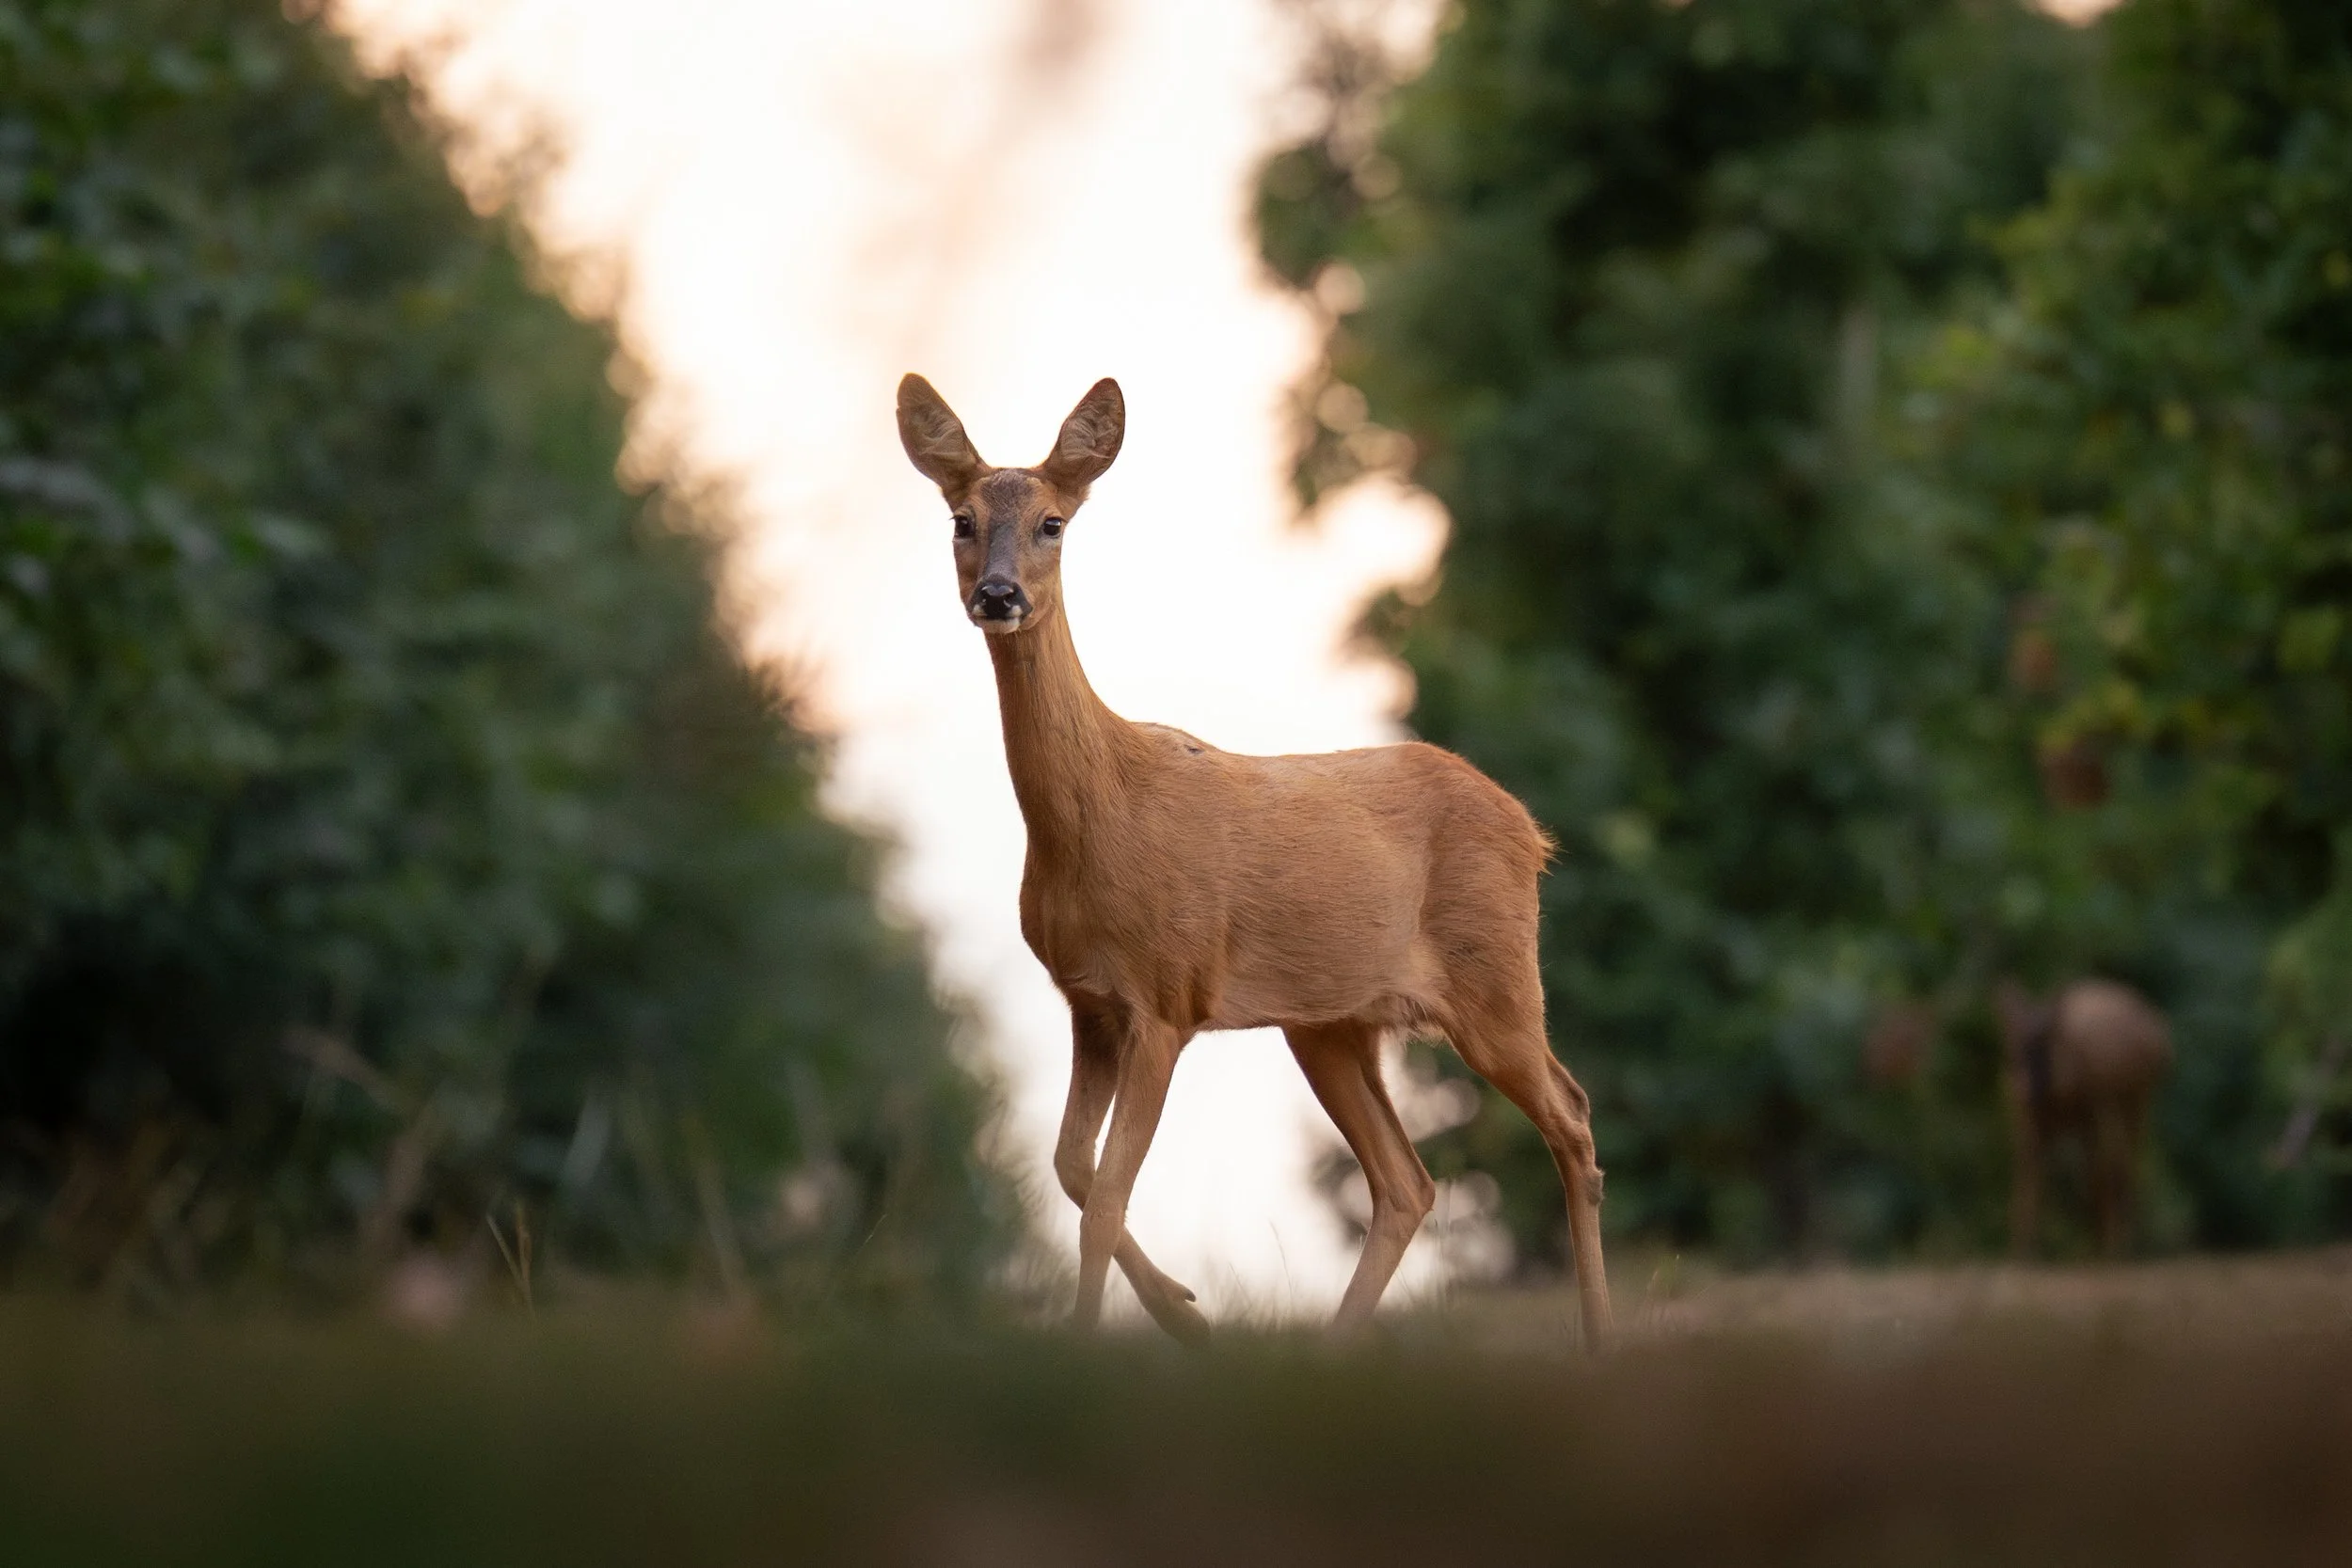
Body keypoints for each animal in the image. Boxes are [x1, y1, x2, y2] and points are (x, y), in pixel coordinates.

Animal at [896, 373, 1612, 1348]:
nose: (998, 594)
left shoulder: (1167, 994)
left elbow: (1104, 1194)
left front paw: (1126, 1332)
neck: (1098, 817)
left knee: (1571, 1116)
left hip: (1493, 974)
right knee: (1407, 1181)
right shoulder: (1089, 1001)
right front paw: (1185, 1313)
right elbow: (1073, 1169)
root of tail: (1529, 829)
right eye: (960, 519)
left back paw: (1600, 1337)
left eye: (1053, 522)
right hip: (1331, 1021)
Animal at [1993, 978, 2171, 1258]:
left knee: (2122, 1168)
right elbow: (2028, 1185)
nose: (2021, 1090)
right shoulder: (2030, 1128)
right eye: (2010, 1045)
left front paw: (2098, 1247)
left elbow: (2094, 1178)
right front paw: (2022, 1251)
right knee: (2113, 1169)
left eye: (2043, 1045)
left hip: (2135, 1104)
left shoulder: (2091, 1120)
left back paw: (2120, 1244)